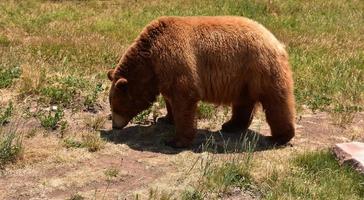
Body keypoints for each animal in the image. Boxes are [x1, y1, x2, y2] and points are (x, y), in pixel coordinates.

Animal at [106, 16, 294, 148]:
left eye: (115, 106)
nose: (115, 126)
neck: (150, 60)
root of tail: (276, 41)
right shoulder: (163, 73)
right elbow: (170, 98)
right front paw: (166, 118)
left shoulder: (175, 59)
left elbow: (184, 97)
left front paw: (175, 141)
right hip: (243, 78)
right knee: (244, 101)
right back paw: (231, 125)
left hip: (261, 68)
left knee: (275, 101)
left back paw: (280, 136)